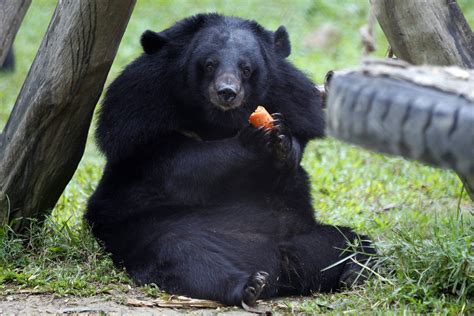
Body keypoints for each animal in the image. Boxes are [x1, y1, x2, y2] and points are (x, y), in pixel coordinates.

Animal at [85, 13, 374, 308]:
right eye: (209, 65)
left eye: (246, 68)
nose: (227, 92)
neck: (219, 121)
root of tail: (281, 270)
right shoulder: (139, 119)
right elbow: (183, 167)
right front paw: (254, 138)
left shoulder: (294, 102)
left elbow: (289, 165)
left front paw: (281, 139)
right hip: (156, 235)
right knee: (186, 258)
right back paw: (250, 285)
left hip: (305, 236)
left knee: (350, 242)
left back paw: (356, 271)